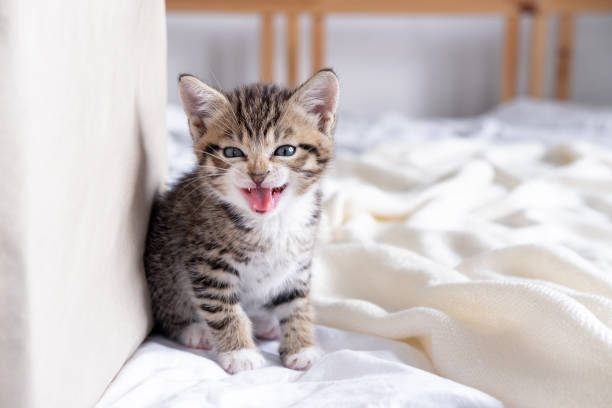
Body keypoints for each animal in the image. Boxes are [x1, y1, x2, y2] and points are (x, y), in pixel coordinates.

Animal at [146, 69, 342, 372]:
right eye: (232, 153)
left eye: (285, 151)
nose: (258, 175)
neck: (273, 223)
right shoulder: (208, 264)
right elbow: (223, 309)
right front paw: (240, 353)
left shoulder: (298, 263)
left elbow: (298, 304)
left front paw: (301, 346)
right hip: (163, 268)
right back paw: (194, 331)